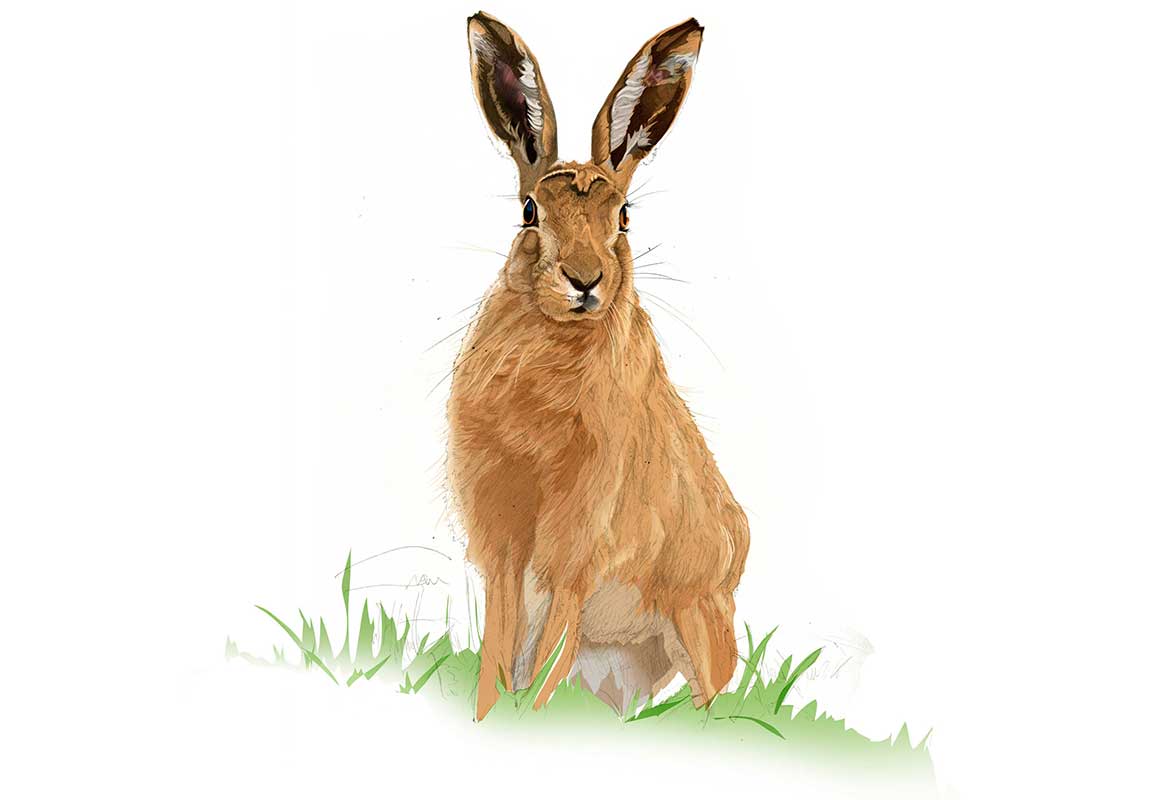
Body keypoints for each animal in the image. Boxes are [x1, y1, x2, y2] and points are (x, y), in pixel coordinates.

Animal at [448, 12, 749, 721]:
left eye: (624, 218)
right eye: (529, 212)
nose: (584, 280)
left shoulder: (577, 545)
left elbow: (549, 646)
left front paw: (524, 721)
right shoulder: (506, 548)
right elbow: (499, 647)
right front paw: (487, 718)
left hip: (696, 616)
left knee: (711, 696)